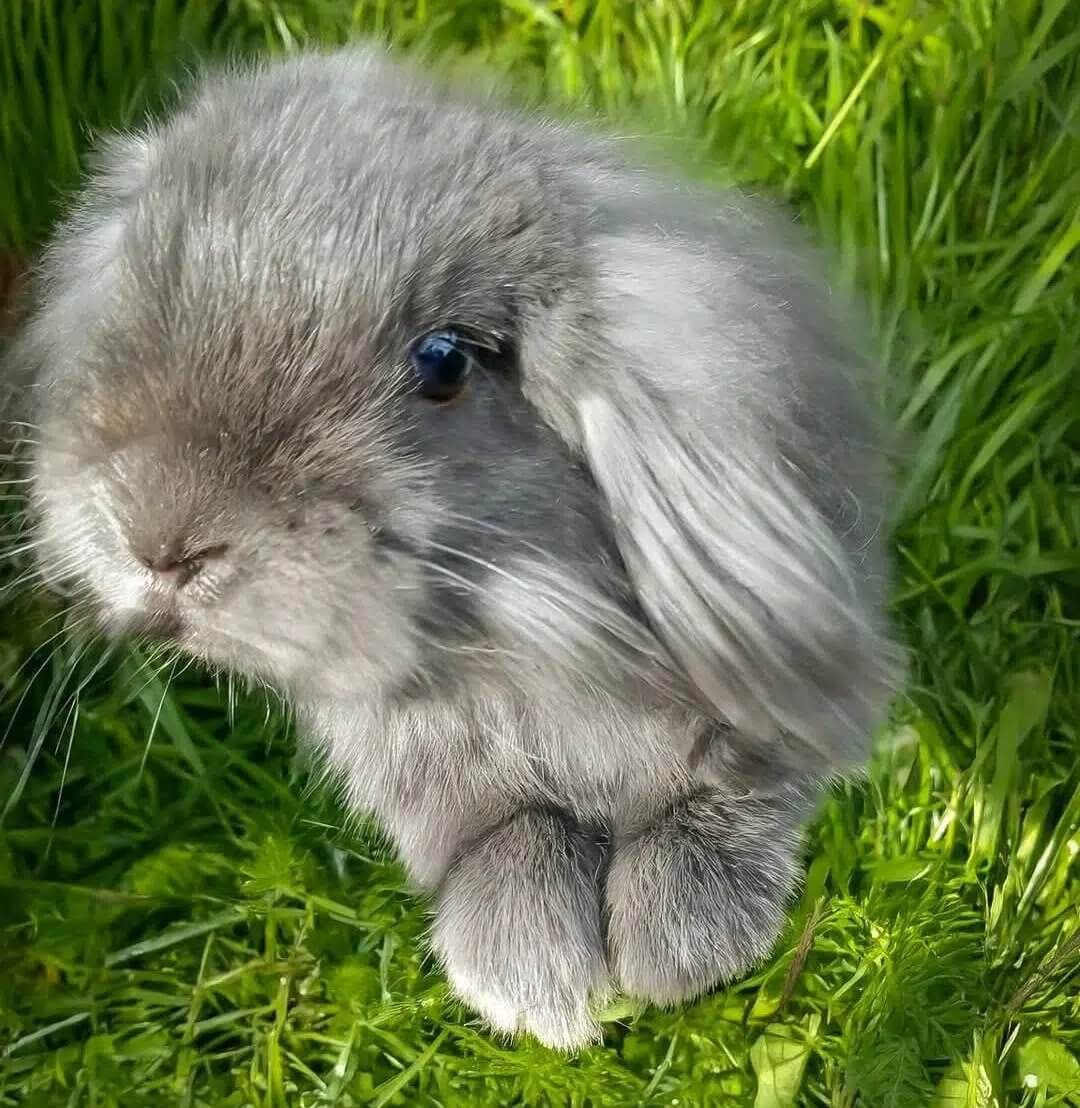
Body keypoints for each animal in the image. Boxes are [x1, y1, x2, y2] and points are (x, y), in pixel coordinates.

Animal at [10, 46, 903, 1049]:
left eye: (444, 361)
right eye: (137, 294)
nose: (160, 541)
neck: (525, 633)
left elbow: (729, 788)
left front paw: (677, 946)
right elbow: (504, 834)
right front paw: (535, 980)